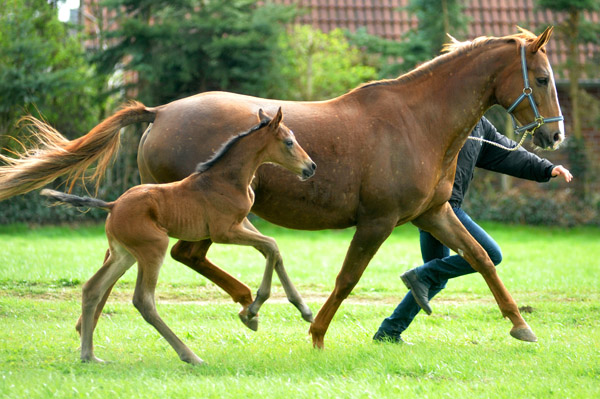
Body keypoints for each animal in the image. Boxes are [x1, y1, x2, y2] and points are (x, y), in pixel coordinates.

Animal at [39, 108, 316, 366]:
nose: (311, 167)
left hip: (124, 254)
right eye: (289, 142)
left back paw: (89, 355)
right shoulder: (224, 231)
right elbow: (271, 245)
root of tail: (113, 205)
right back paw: (190, 356)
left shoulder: (240, 224)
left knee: (92, 288)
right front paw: (254, 308)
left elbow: (273, 249)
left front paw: (299, 310)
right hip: (153, 249)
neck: (227, 179)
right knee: (143, 301)